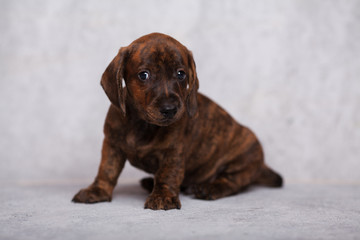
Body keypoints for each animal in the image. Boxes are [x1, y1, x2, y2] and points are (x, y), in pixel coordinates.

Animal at [71, 32, 282, 210]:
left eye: (181, 74)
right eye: (144, 75)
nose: (170, 109)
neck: (143, 124)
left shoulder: (173, 152)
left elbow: (167, 174)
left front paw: (163, 196)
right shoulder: (112, 145)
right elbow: (107, 170)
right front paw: (98, 190)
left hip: (243, 158)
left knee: (232, 182)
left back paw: (209, 188)